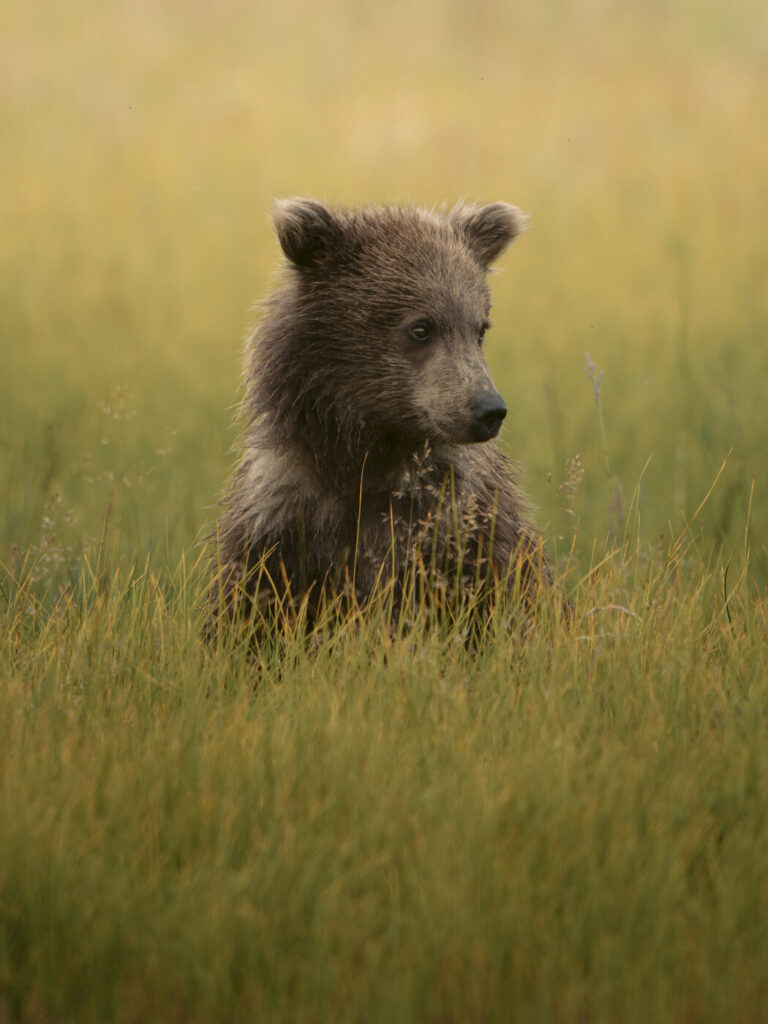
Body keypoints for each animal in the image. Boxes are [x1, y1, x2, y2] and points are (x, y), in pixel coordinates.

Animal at [210, 198, 553, 634]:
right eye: (421, 328)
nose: (488, 409)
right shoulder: (280, 517)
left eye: (480, 329)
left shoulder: (458, 524)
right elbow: (249, 608)